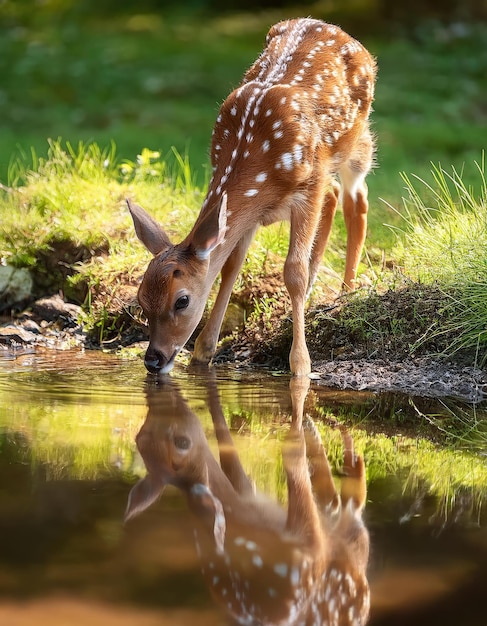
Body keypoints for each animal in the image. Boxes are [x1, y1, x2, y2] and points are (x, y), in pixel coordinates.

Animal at [127, 17, 376, 372]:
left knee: (356, 195)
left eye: (182, 301)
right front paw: (203, 353)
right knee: (334, 196)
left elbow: (293, 271)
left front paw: (301, 365)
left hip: (354, 142)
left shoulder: (308, 185)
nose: (153, 359)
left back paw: (347, 290)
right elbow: (231, 266)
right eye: (141, 299)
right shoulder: (252, 212)